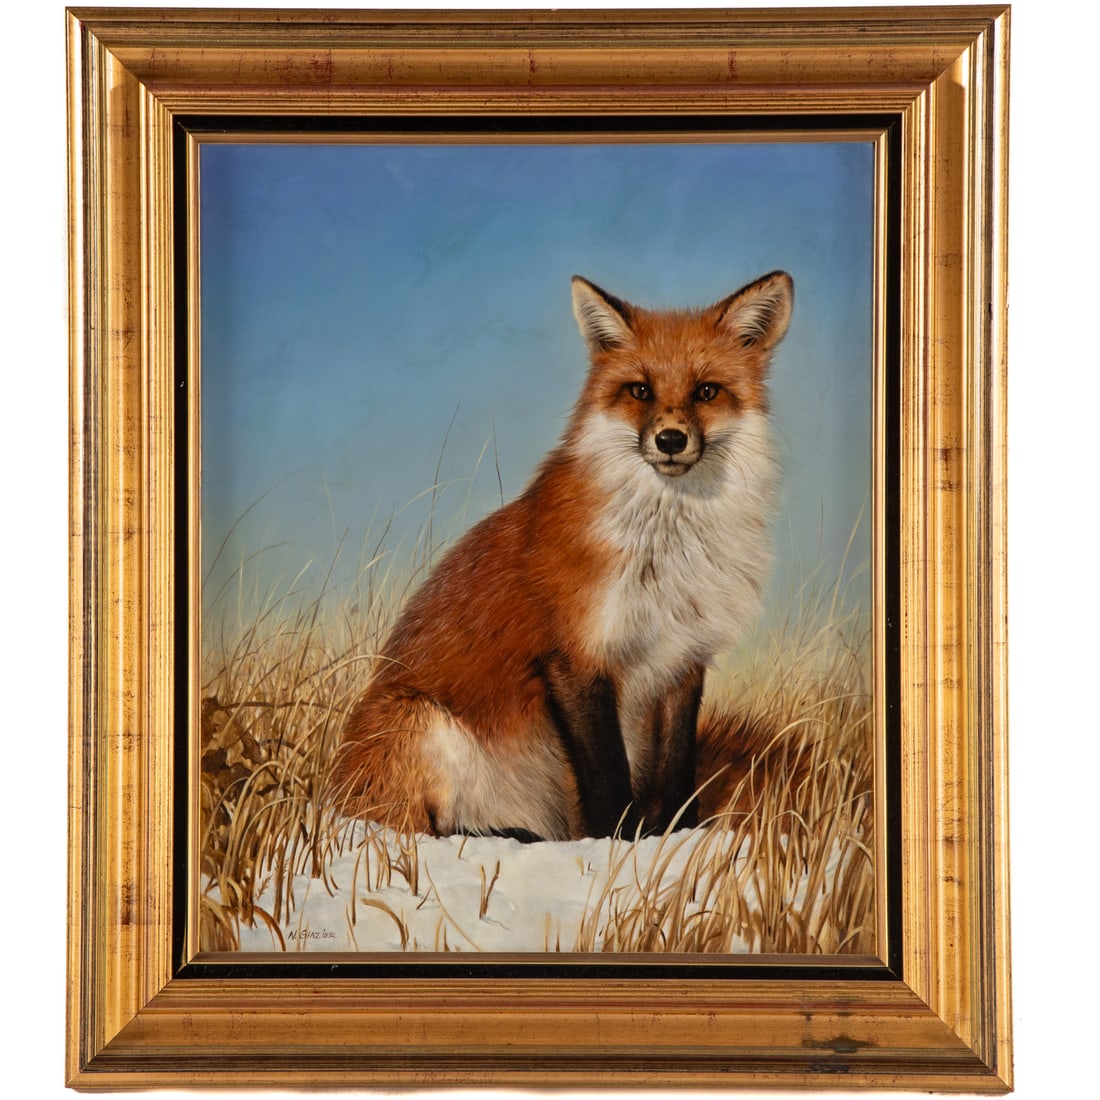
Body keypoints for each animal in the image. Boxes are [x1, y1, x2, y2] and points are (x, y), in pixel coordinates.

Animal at [331, 271, 794, 842]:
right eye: (640, 390)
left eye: (706, 391)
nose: (670, 439)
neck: (667, 551)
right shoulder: (575, 656)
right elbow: (607, 775)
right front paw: (615, 842)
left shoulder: (683, 659)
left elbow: (676, 771)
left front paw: (677, 836)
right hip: (419, 720)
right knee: (422, 830)